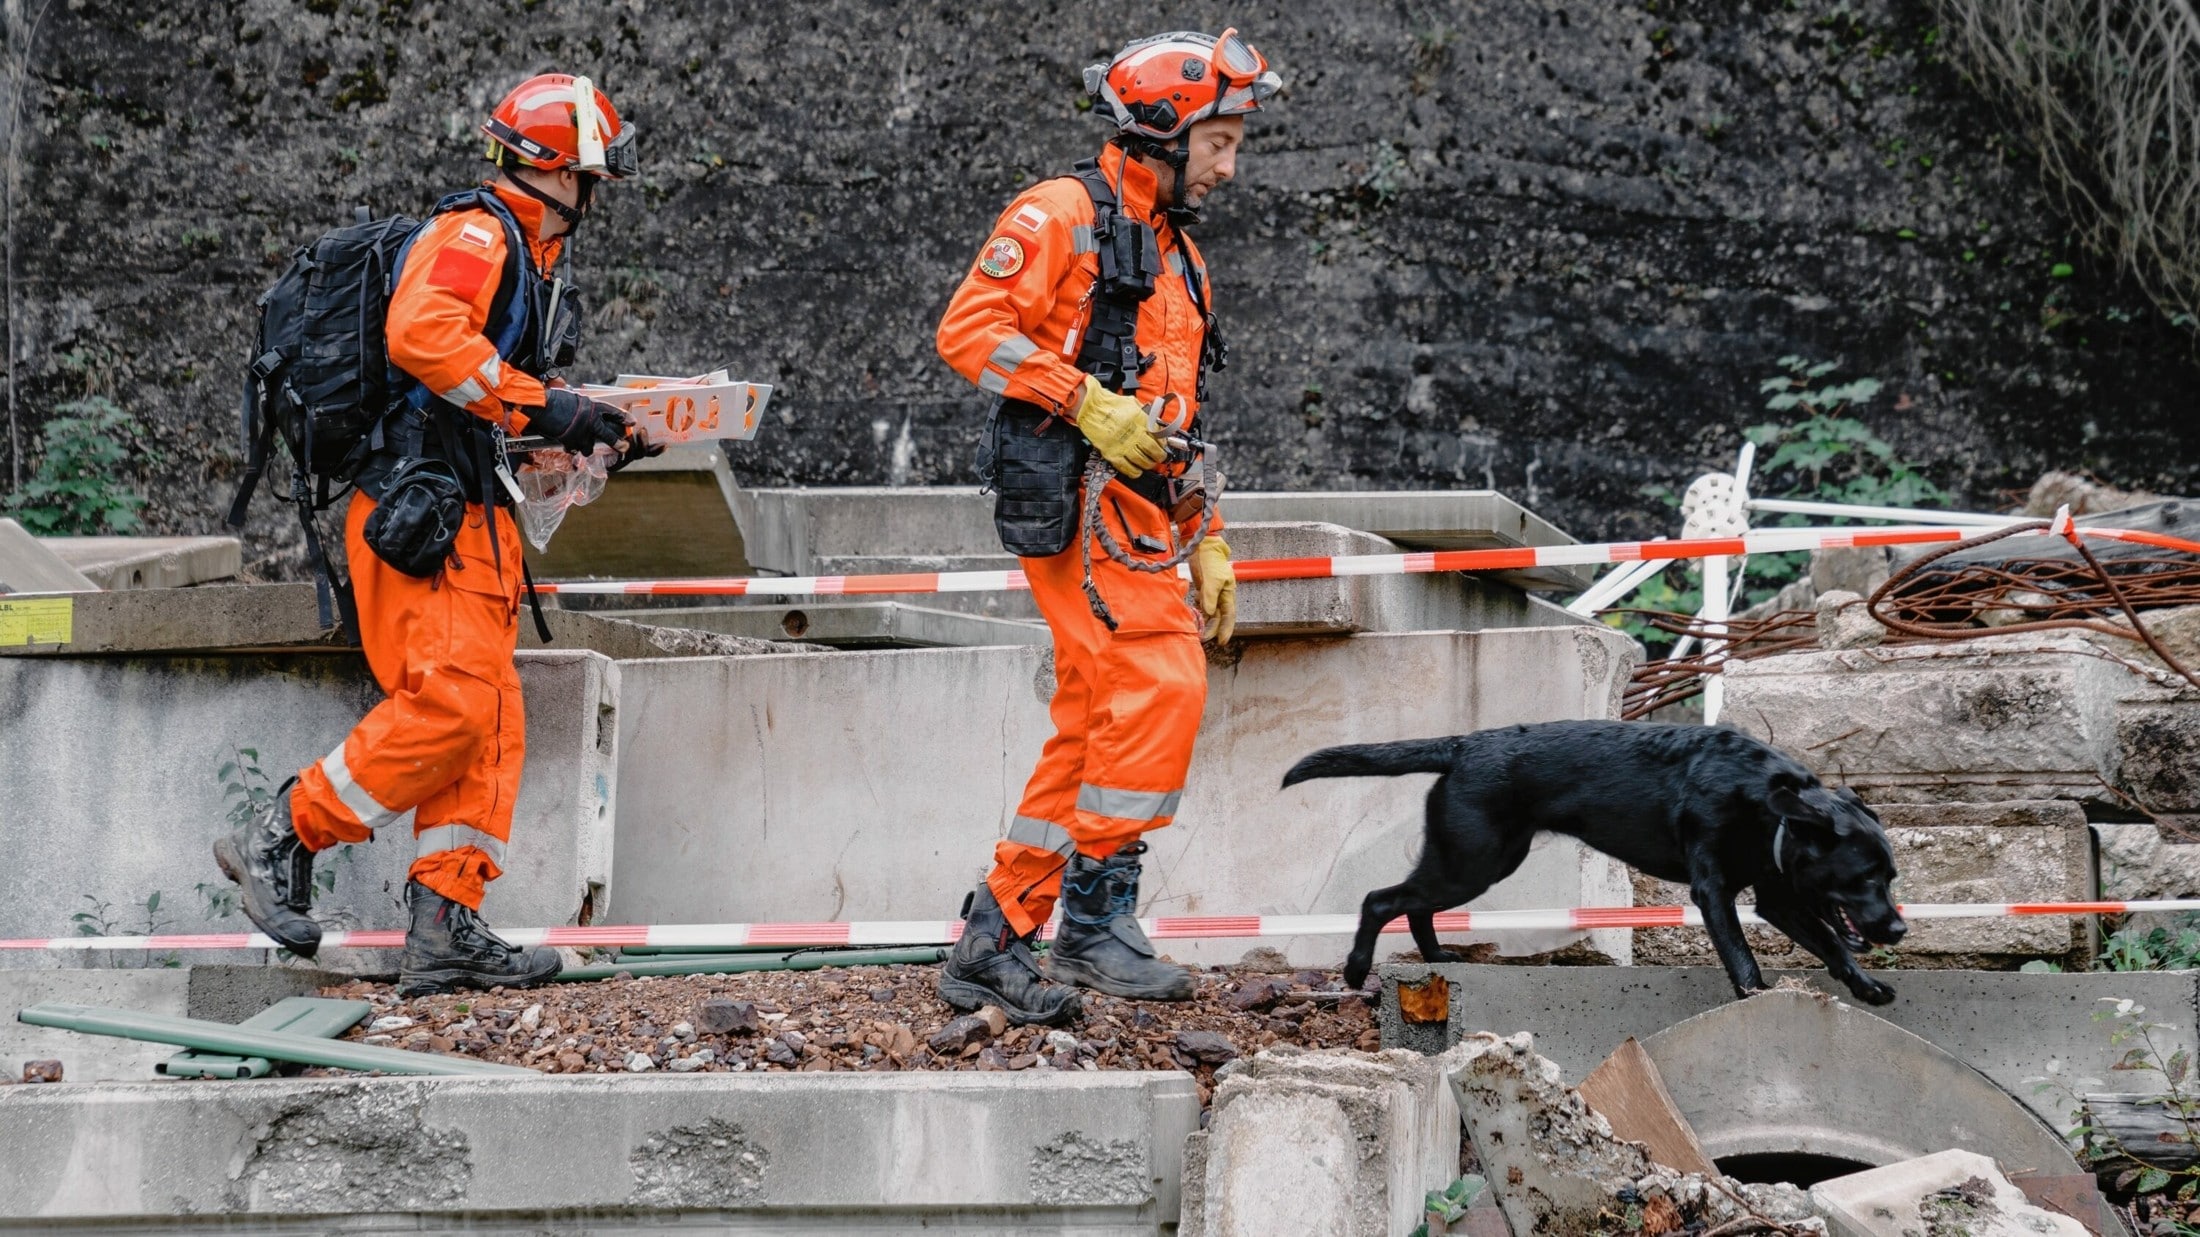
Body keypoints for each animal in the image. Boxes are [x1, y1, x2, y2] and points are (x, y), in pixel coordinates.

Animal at [1284, 717, 1900, 994]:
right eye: (1865, 877)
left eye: (1891, 876)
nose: (1899, 930)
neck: (1767, 804)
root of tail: (1463, 744)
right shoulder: (1714, 890)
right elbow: (1742, 957)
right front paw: (1758, 997)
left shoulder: (1778, 896)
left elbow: (1830, 943)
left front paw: (1866, 987)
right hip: (1470, 862)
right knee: (1379, 900)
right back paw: (1357, 970)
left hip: (1481, 861)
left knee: (1412, 905)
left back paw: (1437, 958)